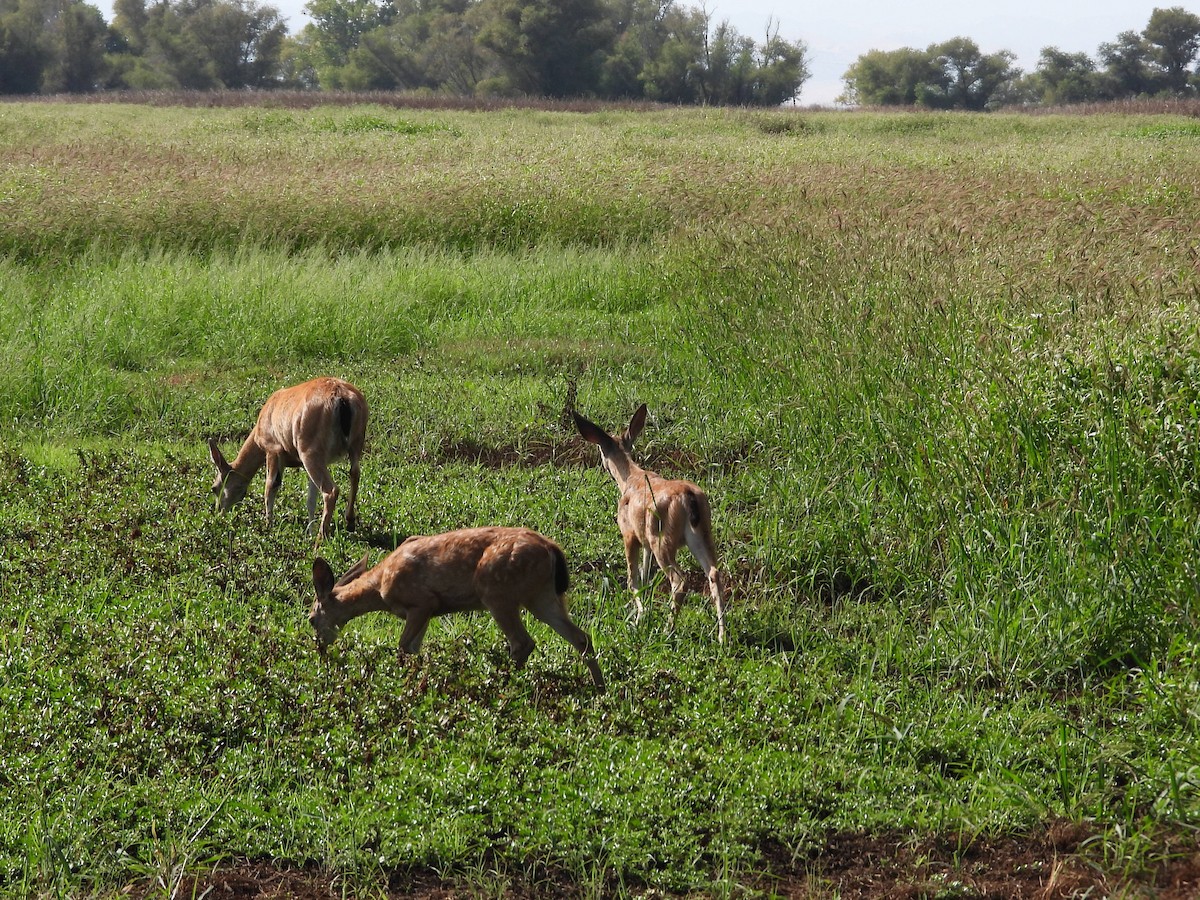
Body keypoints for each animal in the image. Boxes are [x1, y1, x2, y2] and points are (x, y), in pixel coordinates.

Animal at [208, 377, 367, 544]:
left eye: (214, 488)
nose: (219, 513)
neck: (258, 435)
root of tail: (342, 398)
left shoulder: (273, 448)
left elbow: (270, 486)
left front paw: (268, 527)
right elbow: (310, 499)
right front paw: (309, 532)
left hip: (309, 449)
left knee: (331, 490)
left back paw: (321, 538)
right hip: (356, 442)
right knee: (355, 473)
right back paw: (349, 522)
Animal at [309, 526, 605, 691]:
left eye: (311, 618)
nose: (320, 649)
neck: (379, 585)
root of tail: (553, 549)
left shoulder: (422, 602)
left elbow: (404, 647)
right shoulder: (426, 612)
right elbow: (414, 648)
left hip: (498, 593)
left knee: (522, 642)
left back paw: (504, 684)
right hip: (542, 596)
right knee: (581, 637)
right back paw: (599, 689)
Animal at [573, 404, 729, 644]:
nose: (603, 466)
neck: (629, 479)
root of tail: (689, 497)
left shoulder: (629, 533)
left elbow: (633, 580)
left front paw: (639, 617)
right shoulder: (644, 539)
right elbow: (645, 575)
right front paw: (644, 610)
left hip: (662, 539)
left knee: (679, 581)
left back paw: (668, 630)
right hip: (702, 533)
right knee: (714, 572)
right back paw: (722, 636)